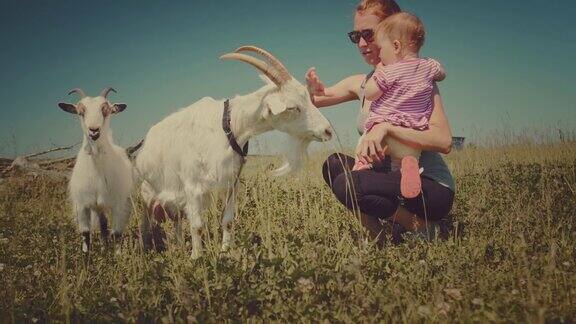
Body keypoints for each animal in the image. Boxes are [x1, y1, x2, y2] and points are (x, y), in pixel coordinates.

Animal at [59, 88, 134, 253]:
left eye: (105, 110)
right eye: (80, 111)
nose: (94, 130)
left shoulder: (118, 205)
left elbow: (117, 234)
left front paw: (119, 256)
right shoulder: (82, 206)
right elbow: (86, 235)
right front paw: (85, 258)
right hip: (98, 208)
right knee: (103, 226)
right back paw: (104, 249)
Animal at [136, 45, 332, 258]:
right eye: (294, 107)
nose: (327, 130)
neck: (229, 126)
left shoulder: (231, 183)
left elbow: (227, 221)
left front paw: (225, 253)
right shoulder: (192, 187)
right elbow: (197, 226)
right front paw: (197, 258)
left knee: (176, 219)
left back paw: (179, 247)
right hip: (148, 192)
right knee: (146, 221)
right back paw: (145, 248)